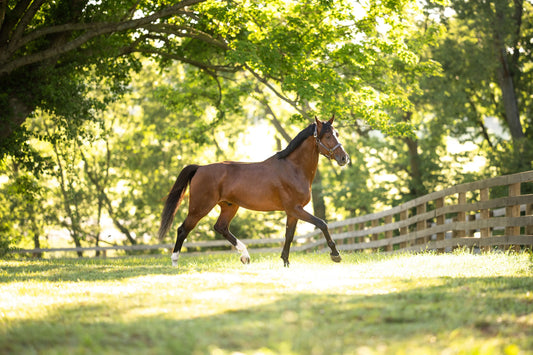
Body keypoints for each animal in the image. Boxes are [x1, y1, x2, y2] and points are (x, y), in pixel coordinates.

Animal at [158, 117, 350, 268]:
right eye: (327, 136)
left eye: (337, 134)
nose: (344, 158)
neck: (293, 168)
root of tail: (200, 168)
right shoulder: (295, 209)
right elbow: (322, 224)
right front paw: (335, 255)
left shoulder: (293, 212)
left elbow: (289, 235)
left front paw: (285, 262)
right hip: (200, 207)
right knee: (183, 229)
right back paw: (175, 262)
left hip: (229, 206)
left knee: (221, 227)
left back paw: (245, 256)